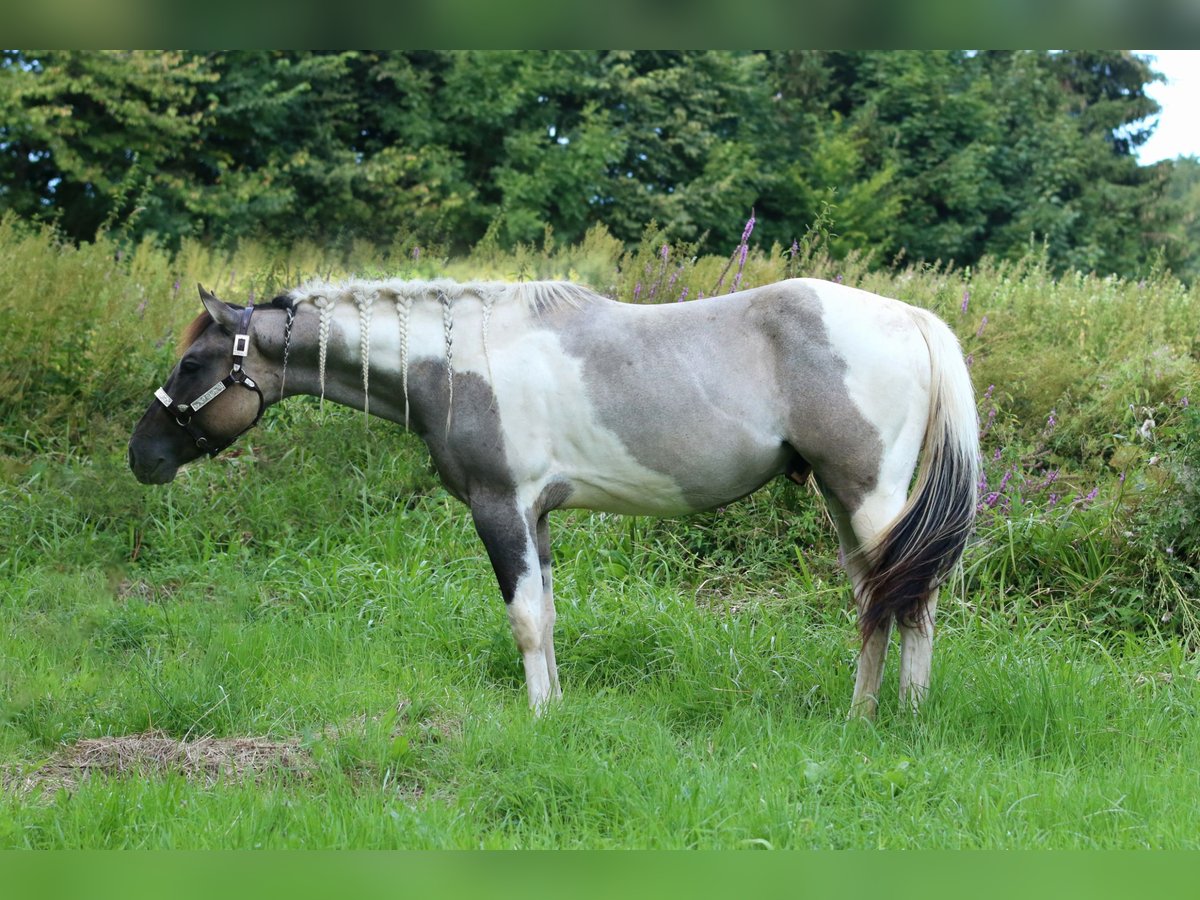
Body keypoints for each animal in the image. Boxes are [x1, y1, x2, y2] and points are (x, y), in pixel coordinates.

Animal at [129, 277, 974, 720]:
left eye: (195, 362)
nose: (143, 457)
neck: (457, 359)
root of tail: (912, 319)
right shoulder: (535, 517)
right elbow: (551, 615)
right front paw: (559, 707)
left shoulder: (500, 507)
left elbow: (526, 620)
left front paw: (538, 717)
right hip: (846, 502)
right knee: (875, 600)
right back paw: (862, 713)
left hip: (870, 497)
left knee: (912, 601)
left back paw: (905, 716)